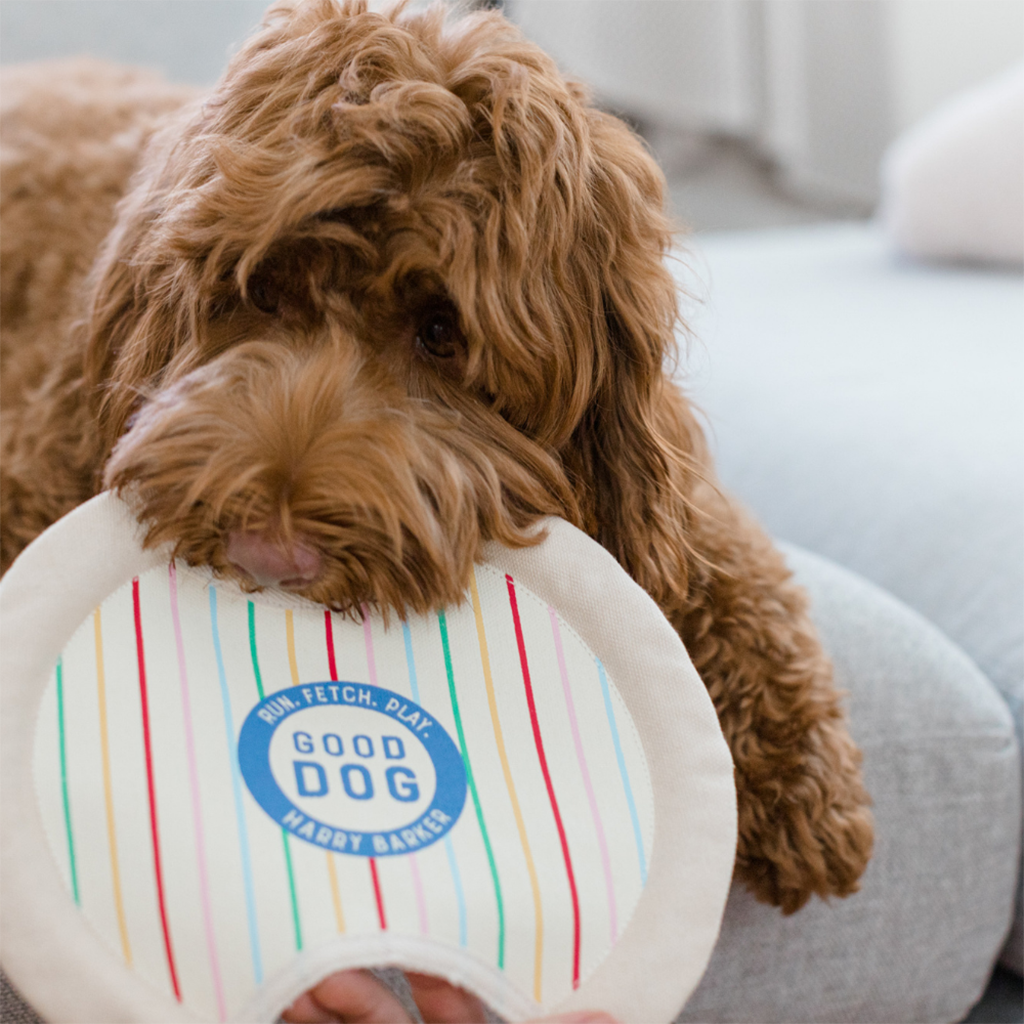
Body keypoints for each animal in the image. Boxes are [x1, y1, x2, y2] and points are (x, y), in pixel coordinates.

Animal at [0, 0, 868, 942]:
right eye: (261, 292)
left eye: (441, 334)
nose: (270, 548)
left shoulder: (673, 484)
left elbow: (737, 574)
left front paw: (806, 780)